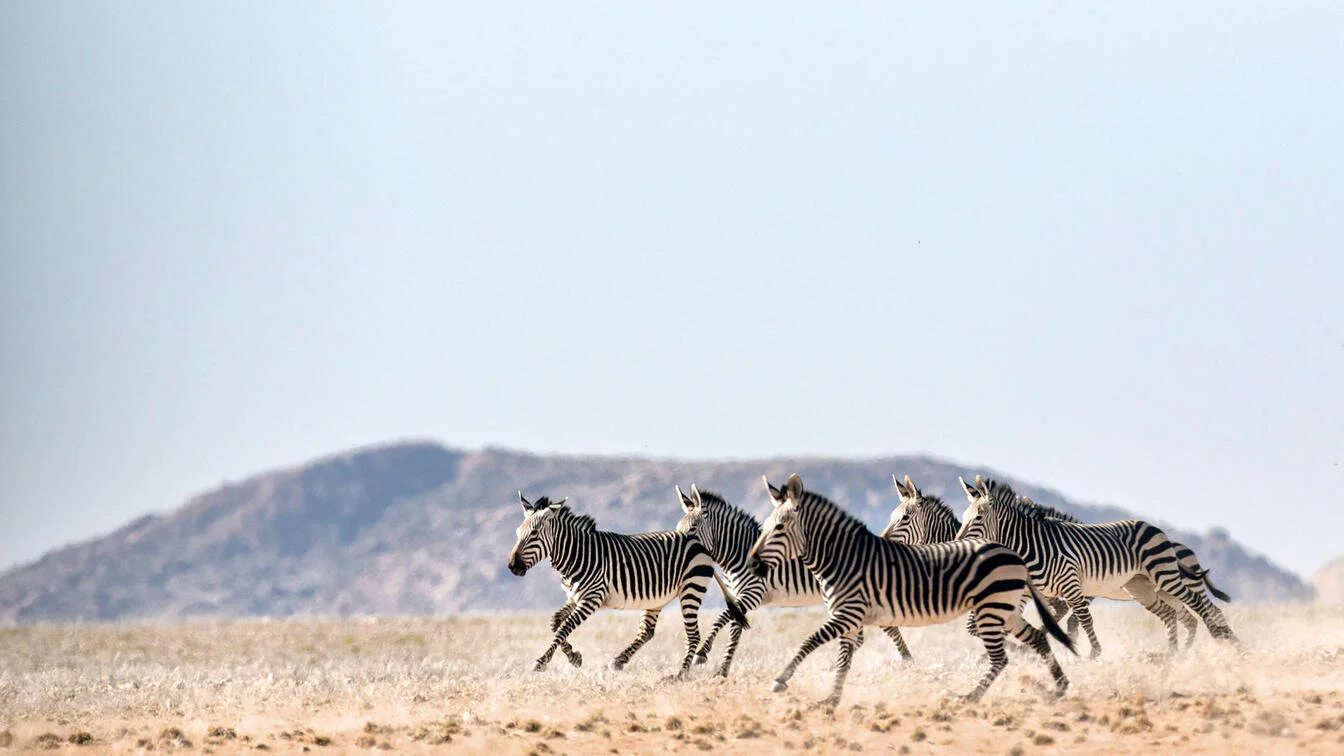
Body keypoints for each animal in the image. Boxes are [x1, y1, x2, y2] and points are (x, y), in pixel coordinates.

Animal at [507, 492, 749, 676]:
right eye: (517, 533)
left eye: (534, 533)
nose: (512, 566)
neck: (578, 554)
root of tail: (700, 544)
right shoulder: (574, 597)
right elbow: (556, 623)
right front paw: (574, 657)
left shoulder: (592, 598)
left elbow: (565, 627)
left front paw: (541, 661)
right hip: (656, 599)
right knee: (647, 632)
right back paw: (620, 661)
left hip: (691, 589)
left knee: (693, 635)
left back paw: (680, 675)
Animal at [674, 485, 915, 678]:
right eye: (677, 529)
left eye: (692, 528)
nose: (681, 551)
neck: (737, 553)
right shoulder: (738, 597)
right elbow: (734, 630)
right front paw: (723, 671)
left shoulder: (753, 593)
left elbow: (721, 618)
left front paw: (703, 653)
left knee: (886, 629)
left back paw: (907, 660)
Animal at [745, 474, 1075, 706]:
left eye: (779, 528)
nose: (752, 563)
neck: (842, 558)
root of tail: (1012, 553)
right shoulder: (850, 619)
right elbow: (843, 660)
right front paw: (831, 699)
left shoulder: (848, 614)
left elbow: (809, 641)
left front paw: (781, 681)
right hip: (1003, 610)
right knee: (1037, 638)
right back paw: (1059, 687)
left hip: (992, 609)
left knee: (1003, 657)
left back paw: (970, 697)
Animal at [882, 475, 1229, 648]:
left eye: (904, 518)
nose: (882, 541)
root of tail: (1182, 547)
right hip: (1151, 590)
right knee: (1186, 618)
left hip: (1169, 583)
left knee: (1206, 610)